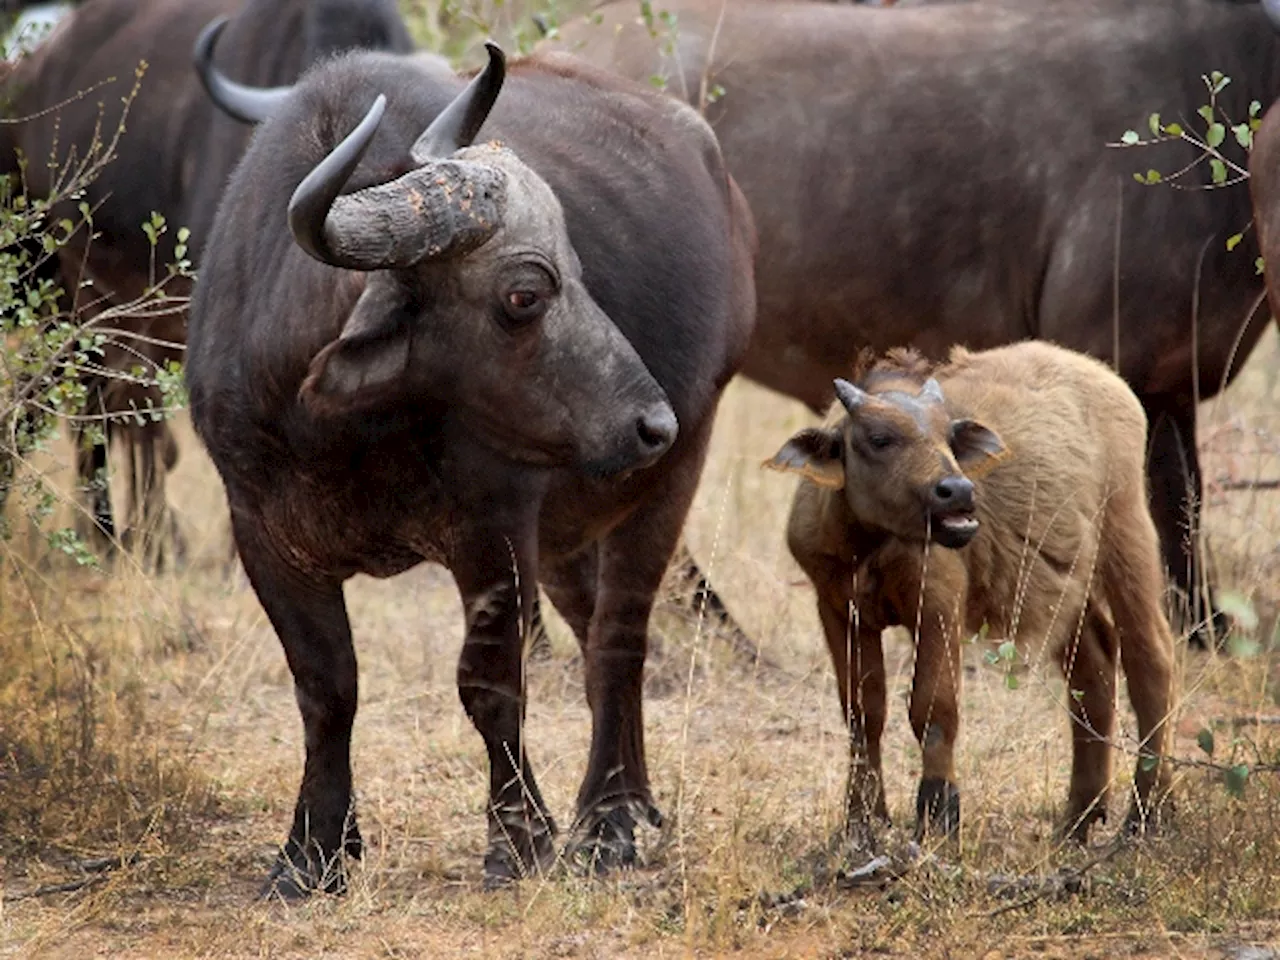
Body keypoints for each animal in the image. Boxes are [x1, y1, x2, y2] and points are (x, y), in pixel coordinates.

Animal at [185, 35, 752, 896]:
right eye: (525, 295)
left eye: (576, 264)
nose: (651, 423)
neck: (345, 432)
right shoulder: (263, 535)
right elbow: (325, 687)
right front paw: (312, 851)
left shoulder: (495, 529)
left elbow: (489, 685)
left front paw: (519, 841)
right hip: (572, 528)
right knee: (592, 630)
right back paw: (634, 797)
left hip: (672, 478)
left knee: (619, 640)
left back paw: (609, 819)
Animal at [762, 343, 1172, 844]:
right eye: (879, 439)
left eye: (947, 435)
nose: (958, 491)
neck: (870, 546)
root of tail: (1106, 380)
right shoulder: (838, 610)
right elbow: (863, 714)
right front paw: (862, 820)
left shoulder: (939, 604)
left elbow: (933, 709)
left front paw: (939, 814)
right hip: (1068, 582)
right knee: (1093, 666)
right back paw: (1078, 817)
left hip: (1126, 535)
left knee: (1150, 658)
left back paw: (1149, 813)